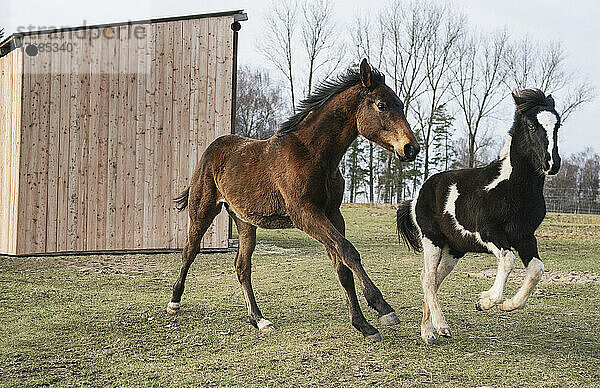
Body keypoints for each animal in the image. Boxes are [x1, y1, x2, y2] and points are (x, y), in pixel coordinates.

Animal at [164, 59, 418, 342]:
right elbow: (348, 251)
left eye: (400, 104)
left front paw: (363, 325)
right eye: (382, 105)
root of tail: (212, 148)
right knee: (189, 251)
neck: (313, 154)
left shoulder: (333, 214)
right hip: (202, 212)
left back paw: (259, 319)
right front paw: (383, 308)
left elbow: (342, 265)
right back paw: (174, 302)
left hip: (244, 222)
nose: (411, 148)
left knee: (242, 266)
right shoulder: (305, 213)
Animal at [398, 89, 564, 344]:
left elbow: (536, 269)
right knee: (427, 279)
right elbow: (508, 259)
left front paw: (507, 305)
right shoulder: (489, 234)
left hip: (454, 250)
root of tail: (418, 194)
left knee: (432, 279)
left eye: (558, 125)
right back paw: (440, 326)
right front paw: (484, 301)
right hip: (432, 240)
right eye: (531, 125)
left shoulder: (525, 237)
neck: (511, 188)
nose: (552, 163)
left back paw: (428, 332)